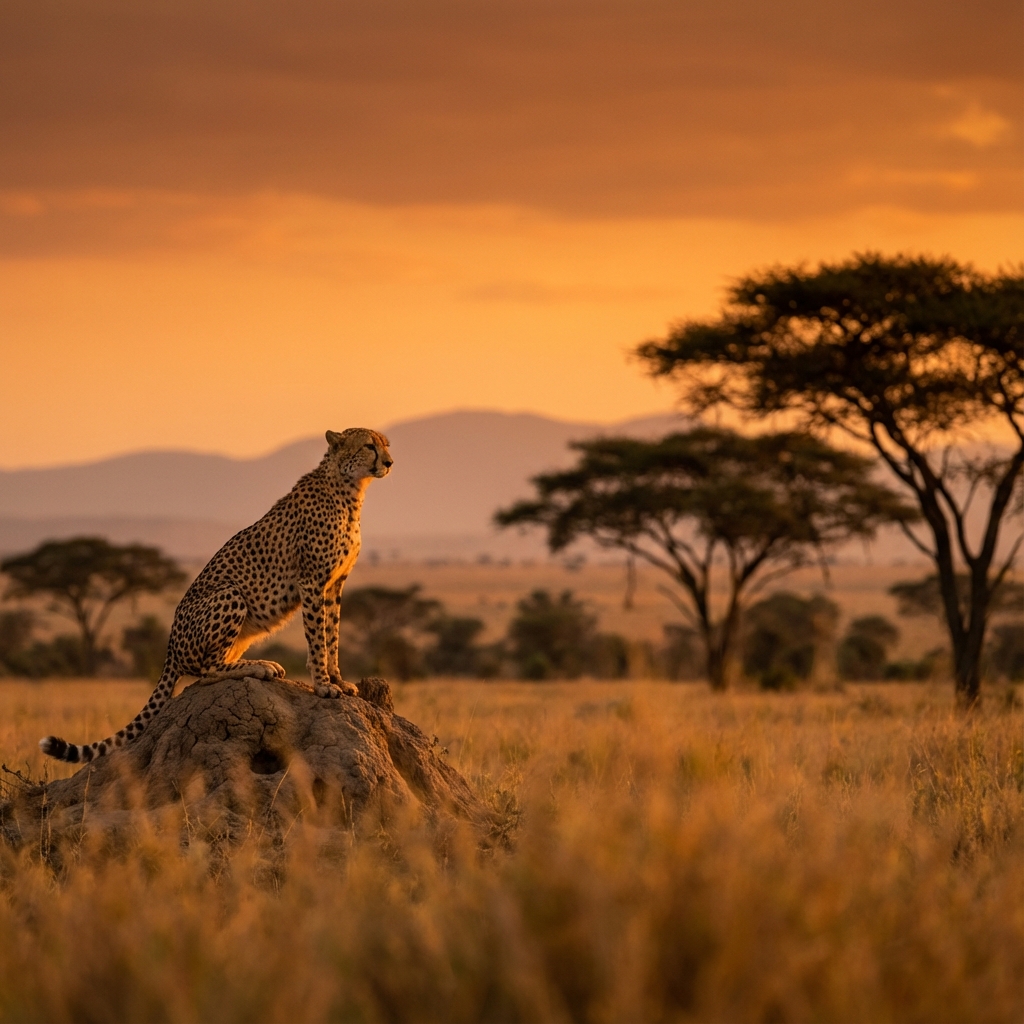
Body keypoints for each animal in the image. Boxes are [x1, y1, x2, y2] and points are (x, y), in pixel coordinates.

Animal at [39, 427, 393, 763]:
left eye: (385, 445)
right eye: (369, 446)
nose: (389, 462)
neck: (349, 490)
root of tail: (169, 650)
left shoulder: (334, 585)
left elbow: (332, 635)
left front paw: (338, 680)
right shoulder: (311, 582)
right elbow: (318, 640)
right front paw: (322, 685)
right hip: (230, 594)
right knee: (206, 671)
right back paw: (259, 667)